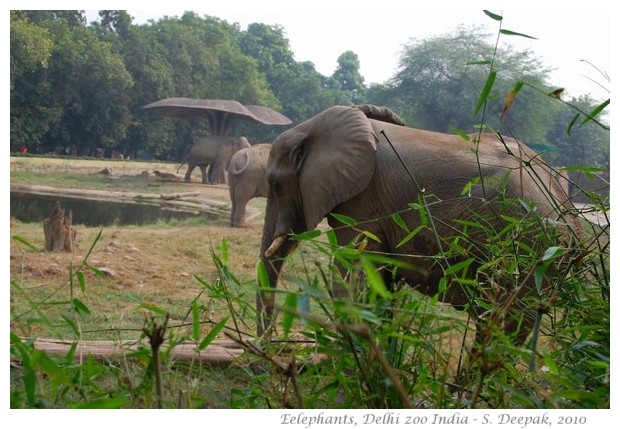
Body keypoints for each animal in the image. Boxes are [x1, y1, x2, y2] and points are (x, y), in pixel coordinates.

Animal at [254, 104, 572, 348]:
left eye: (276, 186)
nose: (271, 347)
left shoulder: (362, 203)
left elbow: (354, 280)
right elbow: (379, 285)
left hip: (525, 249)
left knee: (503, 323)